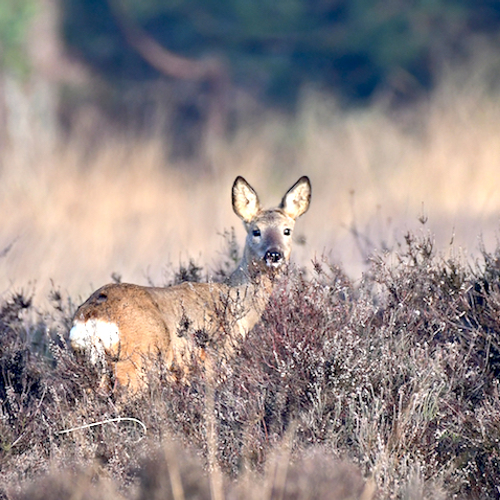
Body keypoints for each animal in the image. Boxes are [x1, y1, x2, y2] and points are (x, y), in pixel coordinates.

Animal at [70, 176, 310, 390]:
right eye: (256, 231)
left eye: (287, 231)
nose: (274, 254)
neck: (235, 303)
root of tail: (90, 317)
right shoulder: (215, 357)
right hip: (135, 361)